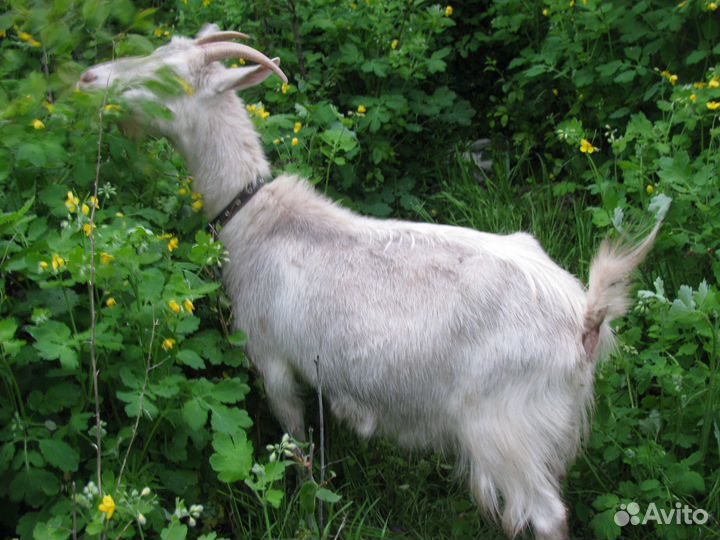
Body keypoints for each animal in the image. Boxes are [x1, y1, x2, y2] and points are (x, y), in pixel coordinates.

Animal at [78, 25, 663, 540]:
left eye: (166, 77)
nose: (88, 78)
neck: (253, 215)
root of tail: (585, 321)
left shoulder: (273, 361)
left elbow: (299, 451)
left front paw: (308, 517)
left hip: (503, 427)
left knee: (546, 515)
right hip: (546, 429)